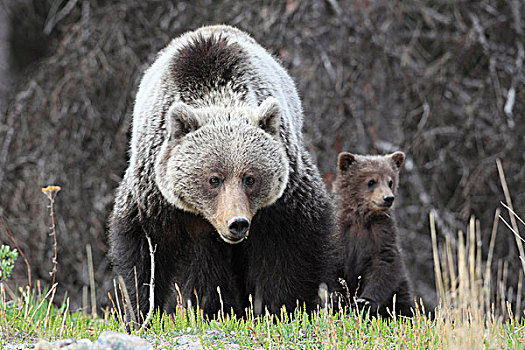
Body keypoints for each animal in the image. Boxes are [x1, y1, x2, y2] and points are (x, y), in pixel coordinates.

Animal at [108, 23, 338, 320]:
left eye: (250, 178)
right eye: (213, 179)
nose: (237, 223)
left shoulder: (286, 194)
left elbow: (294, 246)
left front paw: (285, 308)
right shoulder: (154, 194)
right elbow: (144, 253)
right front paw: (142, 313)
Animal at [334, 150, 412, 318]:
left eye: (390, 181)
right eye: (371, 181)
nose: (388, 198)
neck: (362, 217)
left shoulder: (381, 233)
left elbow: (384, 264)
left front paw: (364, 302)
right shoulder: (340, 233)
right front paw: (337, 299)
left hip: (401, 288)